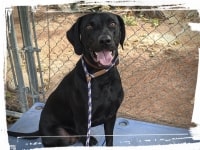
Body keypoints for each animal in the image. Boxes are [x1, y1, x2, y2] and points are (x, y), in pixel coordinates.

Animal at [9, 12, 126, 146]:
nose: (105, 40)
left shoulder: (111, 117)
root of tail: (40, 130)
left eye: (113, 24)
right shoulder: (82, 122)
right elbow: (85, 137)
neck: (102, 78)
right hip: (60, 135)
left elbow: (109, 140)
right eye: (88, 27)